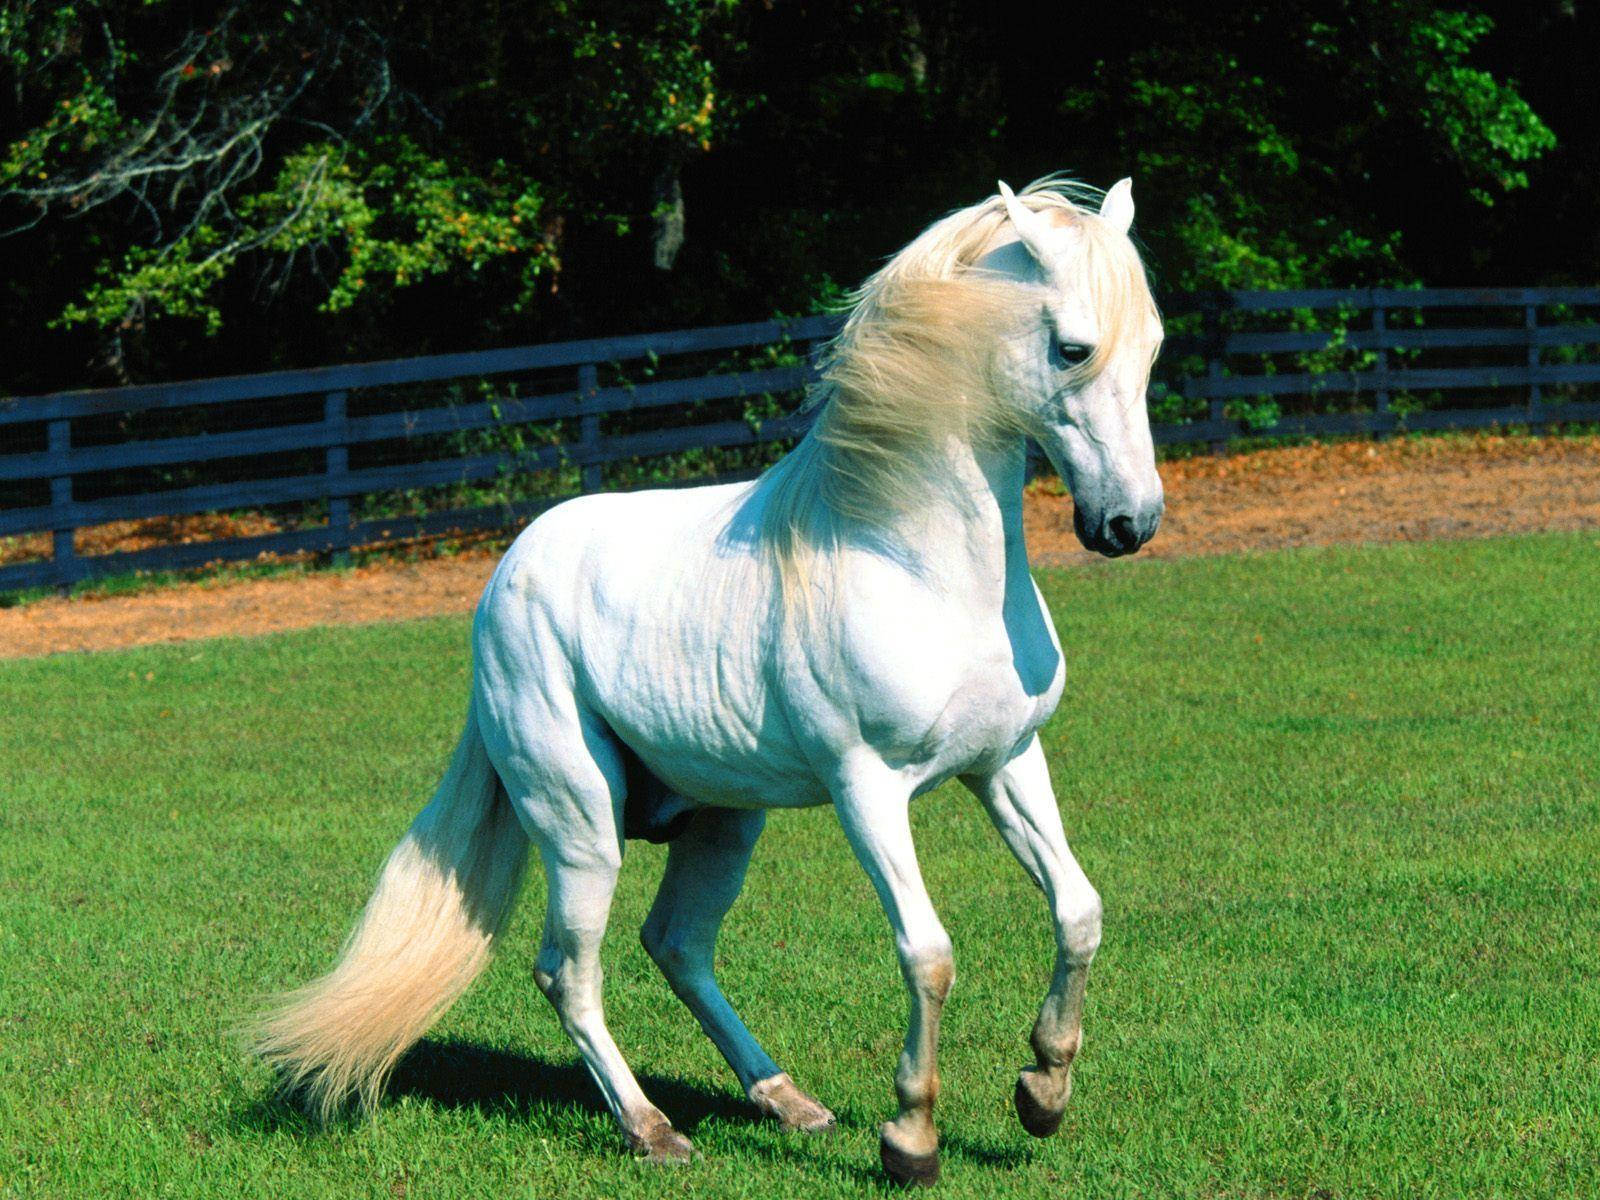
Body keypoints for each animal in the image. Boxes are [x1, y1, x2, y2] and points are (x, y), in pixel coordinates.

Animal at [253, 176, 1165, 1186]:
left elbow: (1078, 912)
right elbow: (927, 953)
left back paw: (788, 1102)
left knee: (677, 945)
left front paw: (1042, 1094)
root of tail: (506, 577)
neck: (916, 565)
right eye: (1073, 347)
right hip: (580, 825)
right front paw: (911, 1140)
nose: (1128, 525)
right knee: (568, 971)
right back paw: (651, 1130)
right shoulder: (868, 789)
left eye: (1154, 344)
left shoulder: (1004, 761)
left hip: (725, 822)